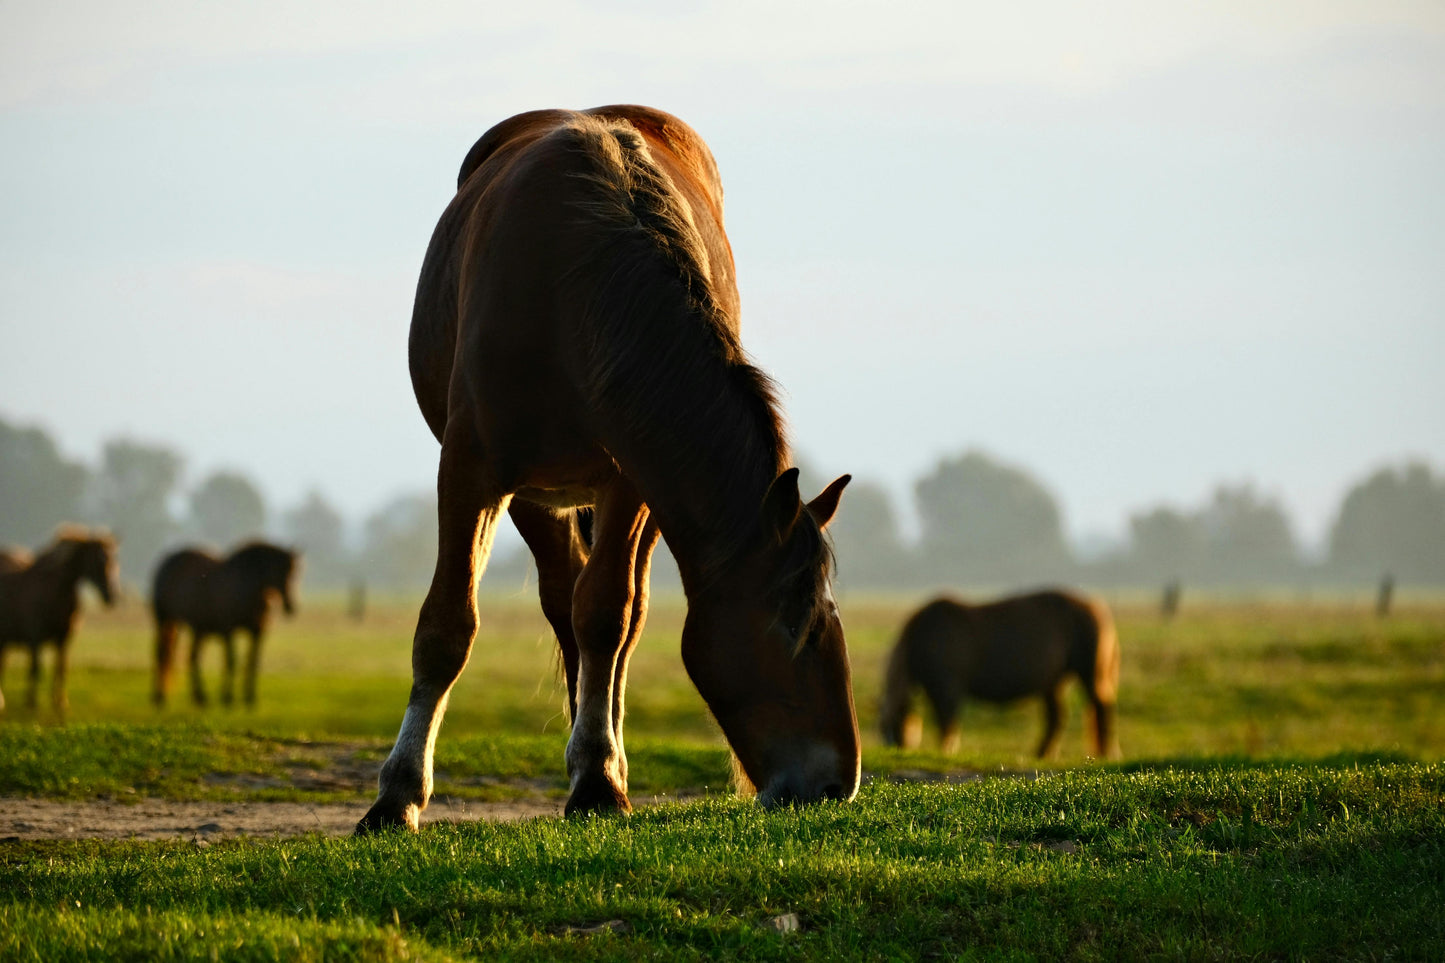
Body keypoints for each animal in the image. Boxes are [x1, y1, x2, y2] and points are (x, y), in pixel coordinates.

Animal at [0, 527, 120, 713]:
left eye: (115, 559)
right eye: (98, 560)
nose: (112, 597)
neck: (54, 593)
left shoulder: (63, 639)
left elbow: (61, 669)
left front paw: (60, 702)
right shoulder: (35, 638)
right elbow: (35, 669)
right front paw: (32, 703)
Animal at [151, 542, 299, 708]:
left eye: (295, 573)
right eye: (280, 571)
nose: (290, 607)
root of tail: (166, 563)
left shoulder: (258, 632)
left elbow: (253, 663)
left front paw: (250, 698)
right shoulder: (228, 630)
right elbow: (231, 661)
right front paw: (228, 698)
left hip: (195, 628)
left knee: (192, 657)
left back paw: (200, 697)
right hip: (164, 619)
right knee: (162, 654)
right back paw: (160, 697)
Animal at [357, 105, 859, 833]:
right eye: (798, 624)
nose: (837, 783)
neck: (568, 294)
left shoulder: (629, 479)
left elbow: (606, 617)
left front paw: (597, 778)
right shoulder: (471, 471)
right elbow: (447, 626)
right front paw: (395, 796)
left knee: (612, 616)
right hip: (535, 496)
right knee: (559, 600)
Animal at [879, 590, 1120, 759]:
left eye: (895, 727)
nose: (897, 751)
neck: (923, 638)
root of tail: (1095, 606)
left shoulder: (947, 687)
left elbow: (947, 721)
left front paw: (946, 750)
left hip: (1089, 674)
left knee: (1100, 707)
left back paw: (1106, 752)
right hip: (1053, 681)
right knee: (1057, 717)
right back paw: (1042, 752)